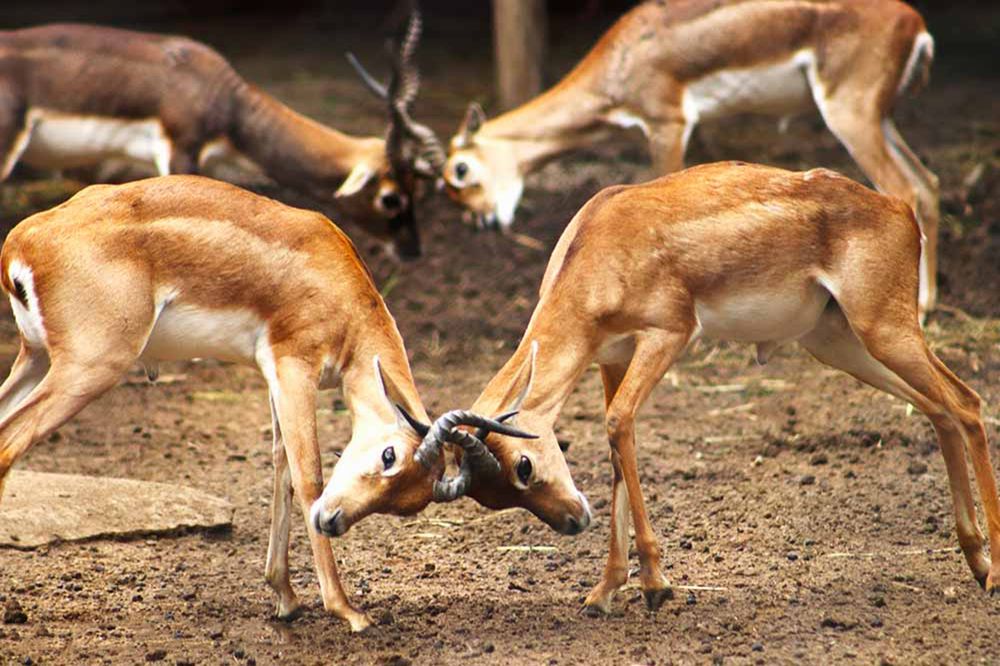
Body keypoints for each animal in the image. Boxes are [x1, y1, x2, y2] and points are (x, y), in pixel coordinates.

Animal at [0, 174, 530, 631]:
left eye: (407, 505)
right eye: (389, 455)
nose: (332, 521)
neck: (336, 281)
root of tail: (23, 241)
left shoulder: (275, 377)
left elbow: (280, 467)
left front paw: (287, 598)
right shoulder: (294, 366)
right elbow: (308, 472)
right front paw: (347, 610)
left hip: (35, 359)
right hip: (88, 370)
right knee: (10, 446)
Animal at [319, 161, 1000, 615]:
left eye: (522, 467)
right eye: (497, 497)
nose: (571, 521)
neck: (600, 245)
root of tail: (898, 211)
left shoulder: (668, 334)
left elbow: (619, 425)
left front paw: (654, 584)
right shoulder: (611, 358)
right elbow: (618, 449)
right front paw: (603, 591)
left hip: (885, 329)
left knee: (967, 403)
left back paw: (993, 573)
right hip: (839, 342)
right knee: (939, 410)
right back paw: (974, 558)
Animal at [443, 0, 941, 317]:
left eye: (460, 171)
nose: (483, 222)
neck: (626, 55)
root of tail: (914, 21)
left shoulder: (668, 122)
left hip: (849, 113)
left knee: (905, 188)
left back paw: (919, 304)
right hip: (879, 118)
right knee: (928, 183)